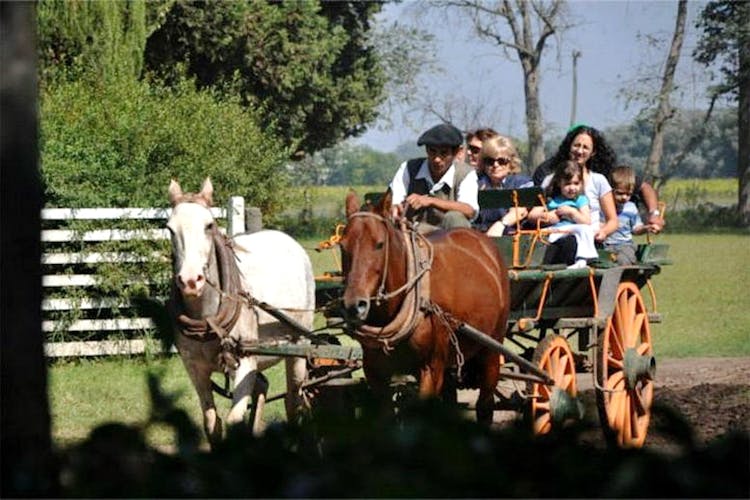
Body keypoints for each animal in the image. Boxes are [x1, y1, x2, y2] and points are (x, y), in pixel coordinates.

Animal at [167, 177, 314, 446]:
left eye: (209, 225)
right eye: (170, 228)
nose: (191, 281)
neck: (208, 317)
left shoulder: (245, 361)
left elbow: (235, 419)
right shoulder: (194, 368)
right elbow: (211, 422)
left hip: (299, 345)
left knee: (294, 399)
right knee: (264, 387)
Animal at [340, 189, 512, 424]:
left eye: (379, 244)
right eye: (342, 245)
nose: (353, 305)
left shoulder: (430, 369)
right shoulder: (375, 373)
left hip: (491, 348)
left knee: (485, 403)